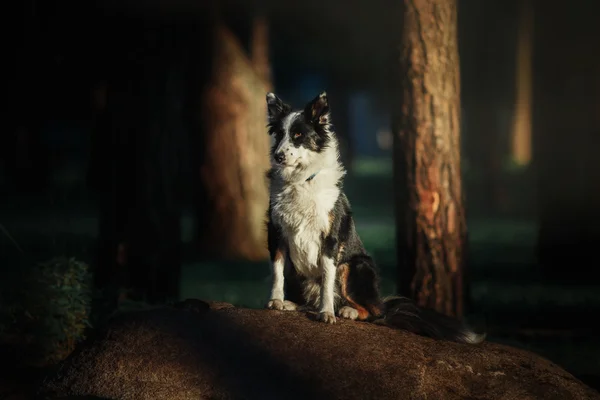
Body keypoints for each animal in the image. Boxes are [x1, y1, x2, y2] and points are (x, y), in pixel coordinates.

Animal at [264, 90, 486, 344]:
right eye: (279, 135)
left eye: (298, 135)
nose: (278, 156)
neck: (301, 180)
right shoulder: (276, 233)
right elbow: (277, 272)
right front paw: (276, 300)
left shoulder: (330, 239)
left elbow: (327, 280)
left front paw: (326, 313)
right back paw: (294, 303)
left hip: (355, 266)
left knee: (372, 313)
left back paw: (347, 310)